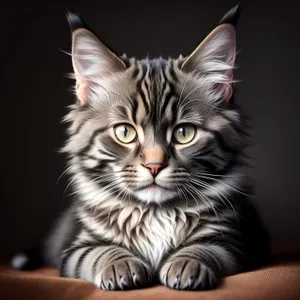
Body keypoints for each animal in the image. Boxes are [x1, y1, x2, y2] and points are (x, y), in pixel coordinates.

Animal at [14, 2, 270, 290]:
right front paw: (121, 267)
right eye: (125, 132)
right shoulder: (76, 250)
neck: (155, 214)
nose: (154, 165)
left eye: (184, 133)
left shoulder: (236, 243)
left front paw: (187, 265)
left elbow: (204, 248)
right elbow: (102, 251)